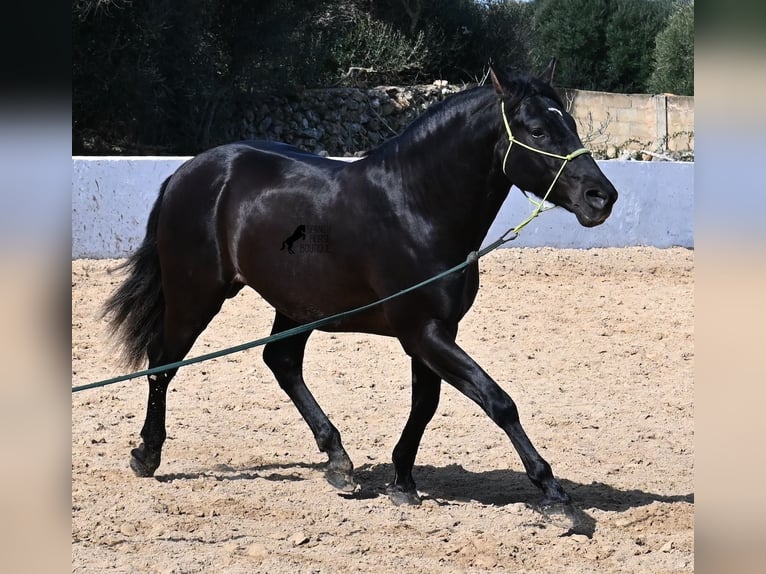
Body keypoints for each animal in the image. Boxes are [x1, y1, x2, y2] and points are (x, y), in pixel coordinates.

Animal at [103, 62, 616, 520]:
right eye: (537, 130)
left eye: (569, 123)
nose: (602, 198)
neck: (416, 208)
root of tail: (188, 172)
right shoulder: (424, 332)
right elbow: (498, 401)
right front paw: (555, 496)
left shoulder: (432, 333)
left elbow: (425, 405)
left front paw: (402, 483)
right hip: (197, 293)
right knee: (163, 364)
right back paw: (147, 455)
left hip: (296, 304)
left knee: (281, 362)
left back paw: (338, 462)